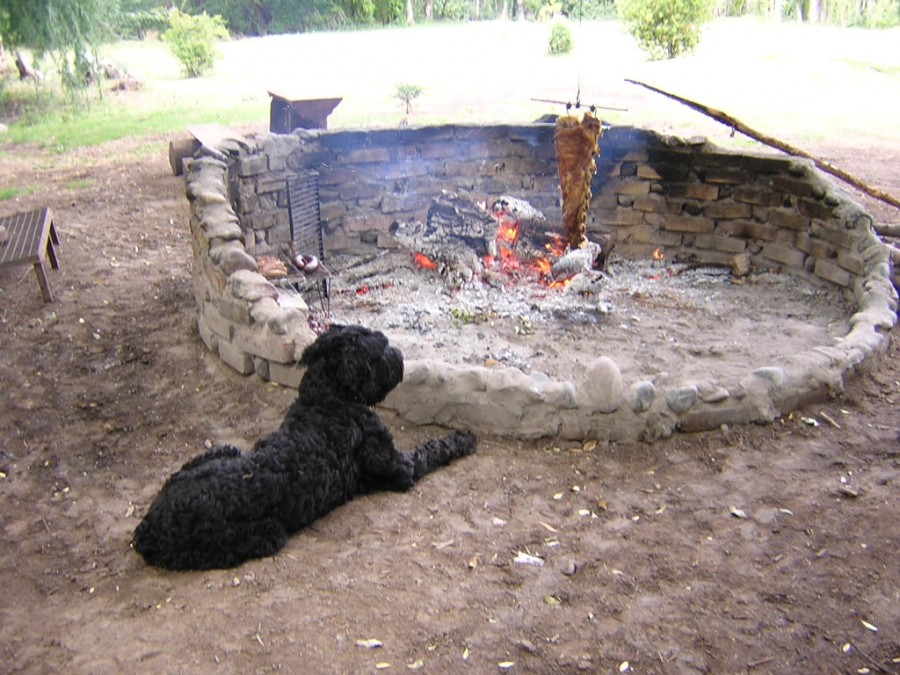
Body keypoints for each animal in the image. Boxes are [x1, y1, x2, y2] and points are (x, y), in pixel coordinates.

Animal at [134, 324, 478, 568]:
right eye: (380, 348)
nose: (399, 355)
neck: (327, 399)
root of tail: (149, 527)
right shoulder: (401, 468)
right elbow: (433, 448)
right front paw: (464, 438)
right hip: (264, 534)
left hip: (225, 450)